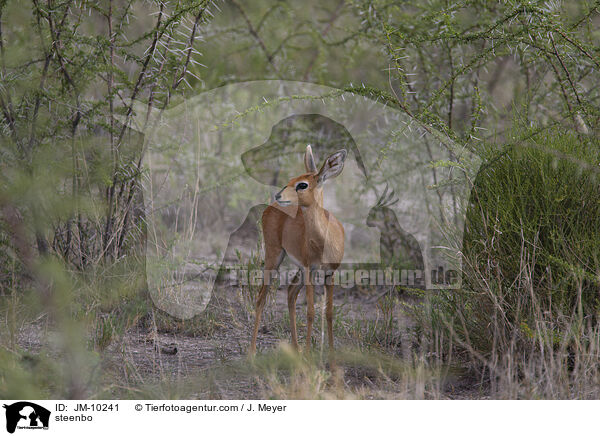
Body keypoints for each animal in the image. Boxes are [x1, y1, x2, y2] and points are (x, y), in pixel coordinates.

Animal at [248, 145, 346, 356]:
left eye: (302, 184)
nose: (278, 195)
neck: (324, 240)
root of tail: (271, 207)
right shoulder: (310, 269)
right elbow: (310, 312)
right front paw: (310, 354)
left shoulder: (329, 273)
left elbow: (329, 313)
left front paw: (331, 356)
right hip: (275, 257)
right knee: (261, 298)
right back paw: (251, 352)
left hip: (299, 268)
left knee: (291, 292)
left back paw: (295, 348)